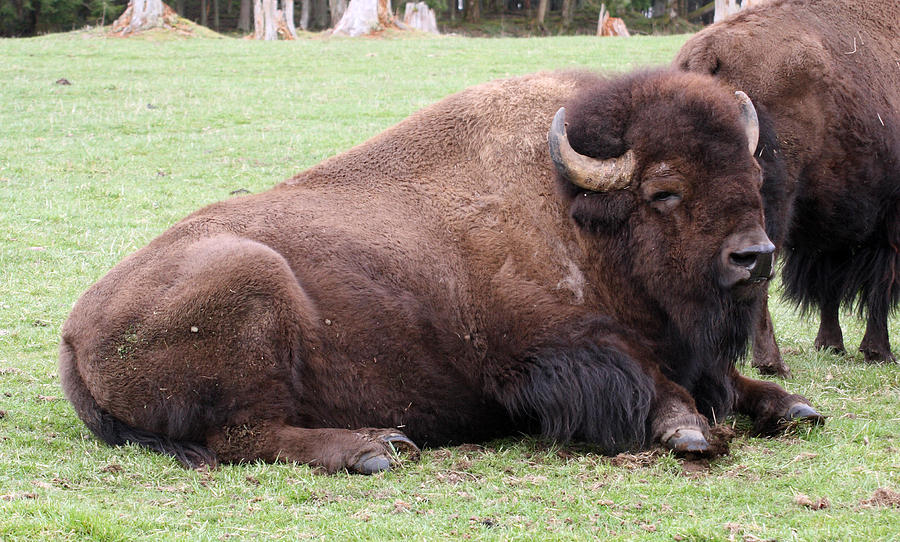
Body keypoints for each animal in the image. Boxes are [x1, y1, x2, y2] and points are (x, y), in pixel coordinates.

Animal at [58, 70, 824, 474]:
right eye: (664, 190)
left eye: (750, 170)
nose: (754, 255)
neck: (579, 214)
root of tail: (73, 332)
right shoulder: (546, 354)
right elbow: (648, 382)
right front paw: (688, 431)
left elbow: (731, 382)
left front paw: (794, 406)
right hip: (253, 287)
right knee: (244, 436)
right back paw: (376, 447)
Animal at [680, 0, 900, 374]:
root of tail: (707, 54)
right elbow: (879, 287)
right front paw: (878, 351)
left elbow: (831, 285)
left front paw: (832, 344)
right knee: (758, 278)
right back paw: (772, 363)